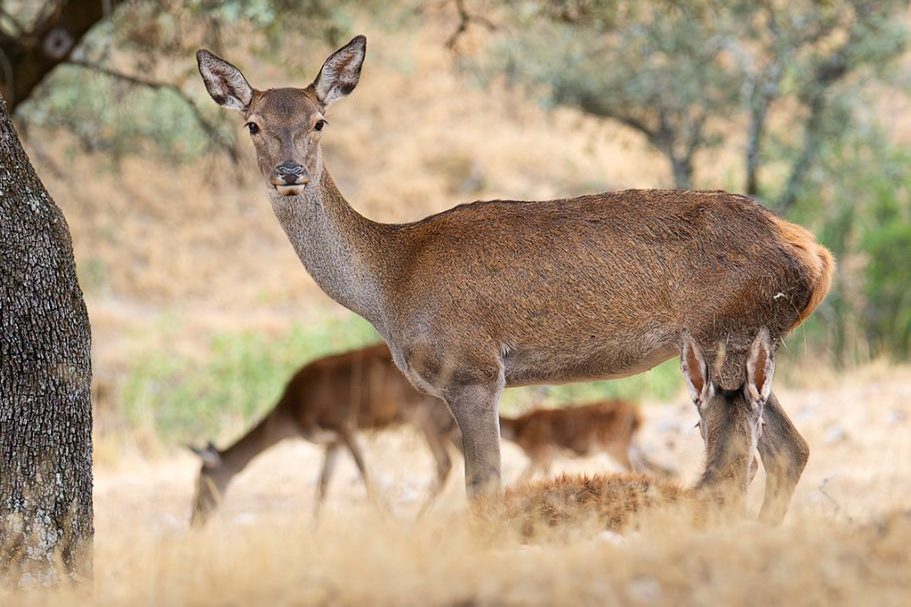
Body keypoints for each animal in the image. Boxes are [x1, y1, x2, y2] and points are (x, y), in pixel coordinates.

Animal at [188, 343, 460, 526]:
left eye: (202, 480)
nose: (195, 519)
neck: (290, 415)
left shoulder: (343, 424)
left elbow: (365, 475)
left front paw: (388, 519)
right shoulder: (333, 441)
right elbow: (322, 486)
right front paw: (313, 531)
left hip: (427, 417)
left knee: (444, 463)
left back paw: (420, 519)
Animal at [498, 400, 675, 482]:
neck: (518, 430)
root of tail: (637, 414)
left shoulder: (542, 451)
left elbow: (523, 479)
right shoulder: (545, 457)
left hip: (616, 446)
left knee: (636, 470)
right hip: (632, 446)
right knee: (653, 469)